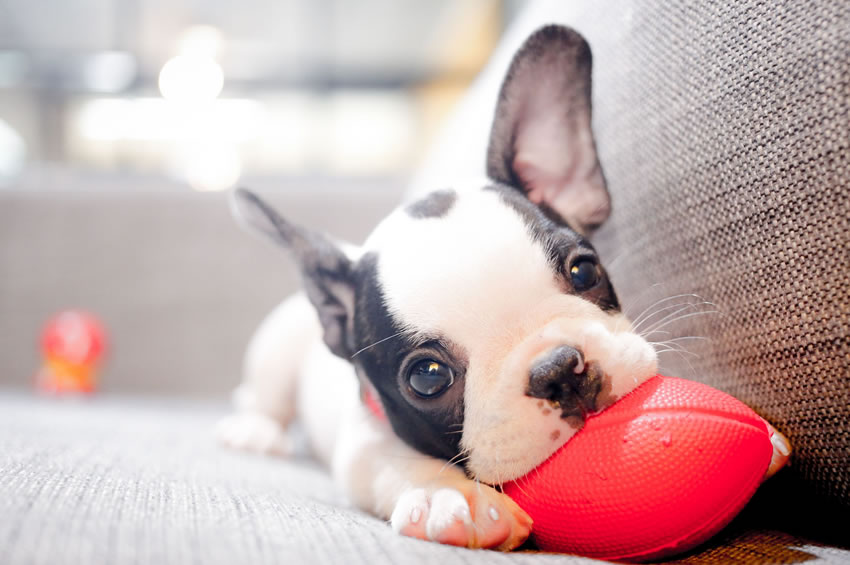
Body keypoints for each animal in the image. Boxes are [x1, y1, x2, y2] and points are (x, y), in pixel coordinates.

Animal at [217, 24, 788, 548]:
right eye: (427, 378)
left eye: (585, 271)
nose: (558, 370)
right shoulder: (362, 442)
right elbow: (391, 459)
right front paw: (451, 495)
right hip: (276, 349)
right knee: (262, 396)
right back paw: (256, 430)